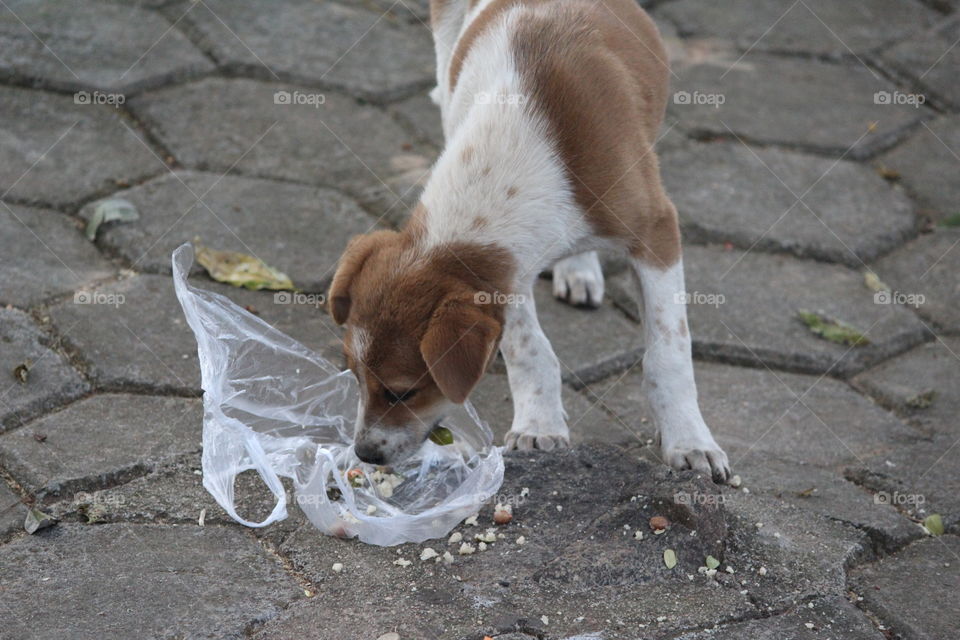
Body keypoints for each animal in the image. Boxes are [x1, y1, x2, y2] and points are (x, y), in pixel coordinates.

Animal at [326, 0, 732, 482]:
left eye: (403, 392)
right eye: (354, 375)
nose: (365, 453)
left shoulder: (657, 231)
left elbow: (669, 353)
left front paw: (690, 441)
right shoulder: (509, 273)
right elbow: (528, 347)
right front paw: (540, 425)